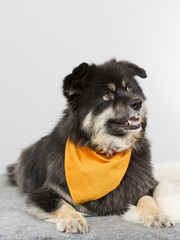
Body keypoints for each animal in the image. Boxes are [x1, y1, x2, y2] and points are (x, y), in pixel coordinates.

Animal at [6, 59, 173, 233]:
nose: (137, 102)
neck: (106, 153)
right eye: (107, 95)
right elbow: (61, 204)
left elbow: (147, 198)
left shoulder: (145, 184)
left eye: (130, 88)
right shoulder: (41, 195)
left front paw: (157, 214)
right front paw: (73, 219)